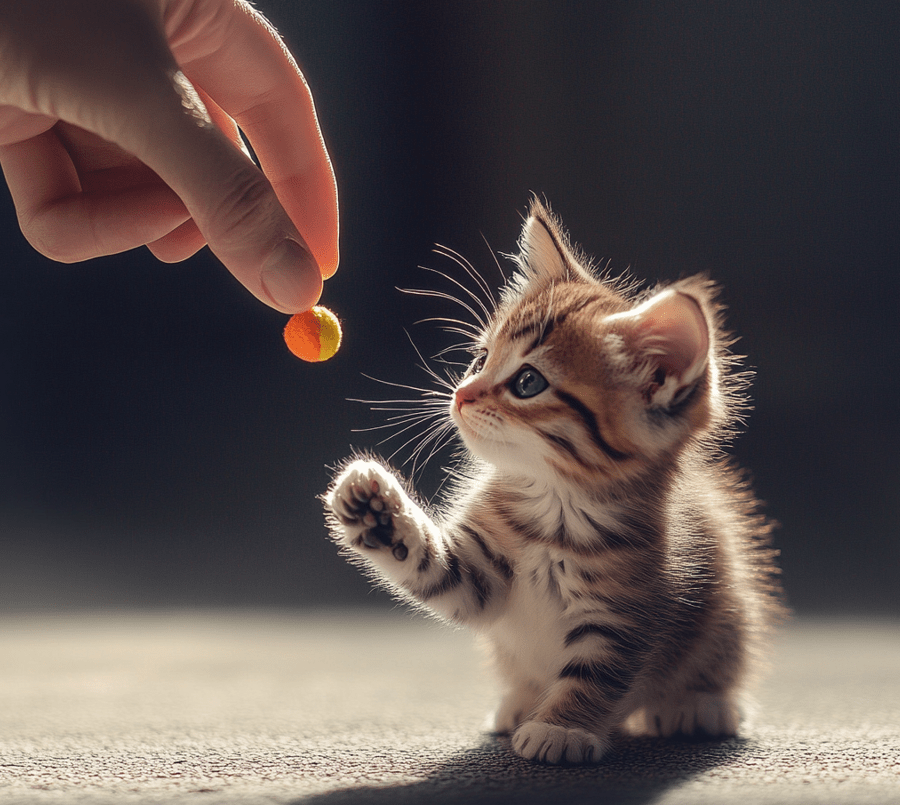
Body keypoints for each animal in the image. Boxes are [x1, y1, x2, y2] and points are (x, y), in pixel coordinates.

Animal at [324, 201, 780, 768]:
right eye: (480, 359)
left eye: (527, 382)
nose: (462, 394)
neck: (554, 509)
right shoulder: (480, 577)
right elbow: (435, 569)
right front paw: (375, 511)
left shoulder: (627, 611)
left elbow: (596, 675)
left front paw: (562, 728)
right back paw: (522, 700)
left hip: (730, 613)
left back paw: (701, 705)